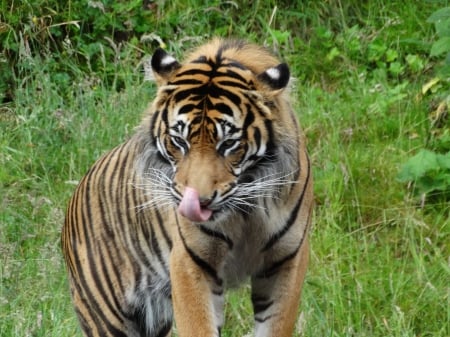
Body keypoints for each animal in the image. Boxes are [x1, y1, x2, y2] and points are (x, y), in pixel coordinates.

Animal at [62, 38, 312, 336]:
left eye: (229, 144)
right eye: (179, 141)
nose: (198, 203)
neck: (245, 213)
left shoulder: (286, 260)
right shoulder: (189, 262)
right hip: (108, 315)